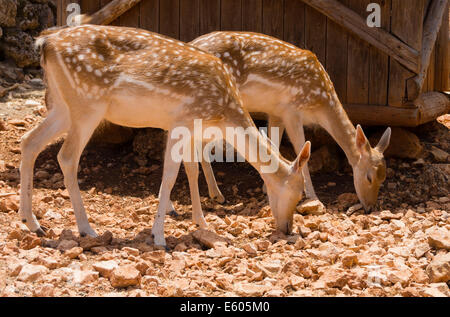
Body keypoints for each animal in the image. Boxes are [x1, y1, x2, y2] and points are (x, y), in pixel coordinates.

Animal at [19, 25, 312, 247]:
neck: (223, 112)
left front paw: (200, 221)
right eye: (298, 194)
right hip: (87, 104)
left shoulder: (186, 127)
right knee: (67, 157)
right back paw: (86, 229)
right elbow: (170, 175)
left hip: (62, 106)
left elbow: (191, 170)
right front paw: (159, 236)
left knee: (29, 141)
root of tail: (45, 43)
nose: (287, 229)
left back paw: (32, 223)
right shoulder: (182, 121)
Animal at [192, 31, 392, 212]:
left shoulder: (276, 112)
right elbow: (301, 149)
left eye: (383, 178)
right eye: (369, 177)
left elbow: (274, 142)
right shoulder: (292, 111)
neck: (320, 103)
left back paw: (216, 195)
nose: (370, 208)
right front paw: (313, 196)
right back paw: (217, 195)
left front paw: (267, 187)